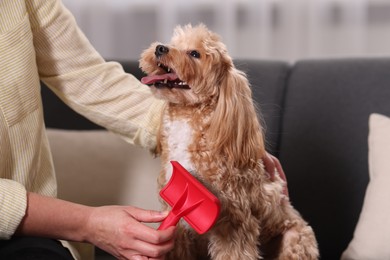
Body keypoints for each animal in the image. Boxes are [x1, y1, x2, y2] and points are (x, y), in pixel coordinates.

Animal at [139, 23, 318, 258]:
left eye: (194, 54)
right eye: (173, 43)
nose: (160, 48)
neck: (188, 119)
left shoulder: (235, 223)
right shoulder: (178, 222)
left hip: (295, 241)